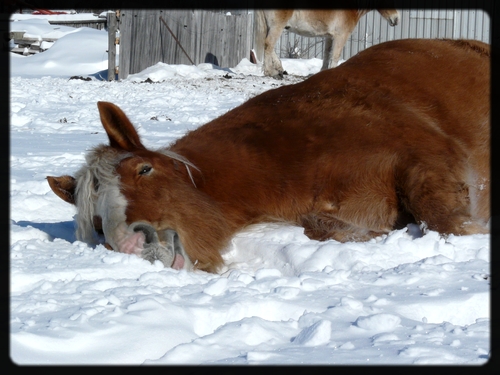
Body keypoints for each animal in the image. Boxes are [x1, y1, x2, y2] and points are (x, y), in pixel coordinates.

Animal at [48, 39, 490, 274]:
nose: (130, 245)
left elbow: (445, 221)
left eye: (145, 168)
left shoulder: (428, 161)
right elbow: (324, 224)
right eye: (97, 223)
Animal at [256, 7, 400, 78]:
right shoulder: (341, 36)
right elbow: (335, 56)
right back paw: (271, 72)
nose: (396, 19)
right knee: (268, 44)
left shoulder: (330, 37)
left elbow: (327, 55)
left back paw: (279, 69)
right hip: (277, 25)